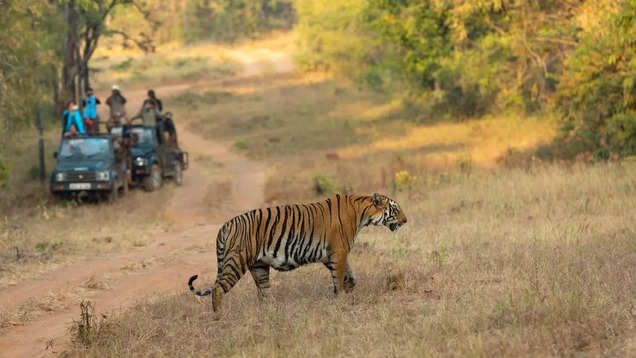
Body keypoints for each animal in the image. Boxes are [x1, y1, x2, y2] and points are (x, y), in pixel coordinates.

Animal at [188, 193, 408, 310]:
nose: (406, 220)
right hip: (237, 261)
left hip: (259, 267)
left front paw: (349, 288)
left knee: (264, 293)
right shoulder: (339, 252)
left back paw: (271, 312)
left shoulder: (330, 255)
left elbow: (350, 275)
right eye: (395, 209)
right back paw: (219, 317)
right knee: (218, 289)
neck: (362, 212)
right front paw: (340, 299)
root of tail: (225, 225)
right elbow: (339, 277)